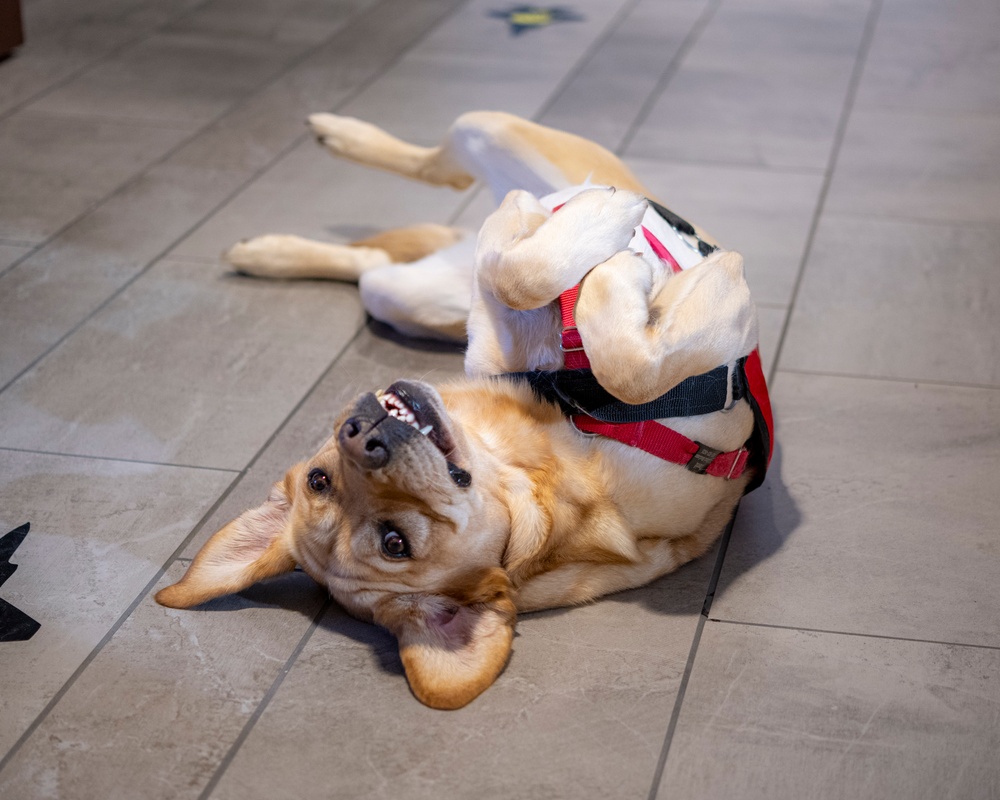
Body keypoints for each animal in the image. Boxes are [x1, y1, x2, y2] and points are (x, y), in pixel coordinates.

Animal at [156, 112, 772, 708]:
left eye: (317, 479)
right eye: (395, 544)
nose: (360, 435)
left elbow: (516, 275)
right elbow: (624, 362)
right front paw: (616, 264)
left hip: (467, 191)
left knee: (419, 214)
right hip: (427, 265)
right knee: (408, 224)